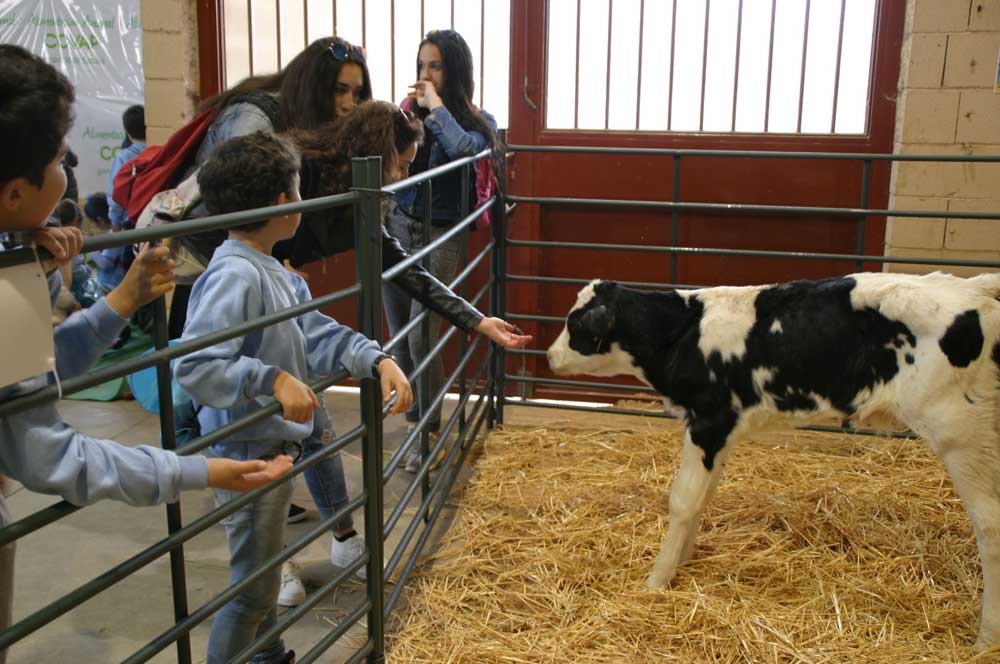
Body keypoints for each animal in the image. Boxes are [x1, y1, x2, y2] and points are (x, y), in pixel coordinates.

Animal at [552, 272, 1000, 648]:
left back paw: (985, 640)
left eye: (575, 325)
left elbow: (682, 500)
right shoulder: (723, 430)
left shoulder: (709, 421)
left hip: (961, 433)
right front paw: (683, 559)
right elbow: (702, 497)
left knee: (989, 524)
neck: (683, 332)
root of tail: (975, 287)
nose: (550, 356)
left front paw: (657, 579)